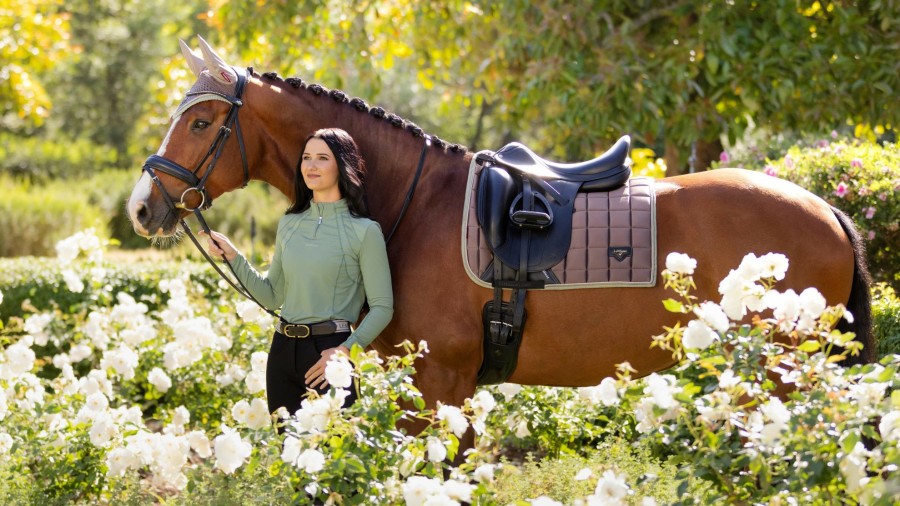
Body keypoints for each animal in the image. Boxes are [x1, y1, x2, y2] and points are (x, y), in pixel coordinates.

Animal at [126, 38, 872, 442]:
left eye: (200, 123)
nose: (141, 206)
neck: (414, 205)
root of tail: (830, 213)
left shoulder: (440, 382)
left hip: (776, 374)